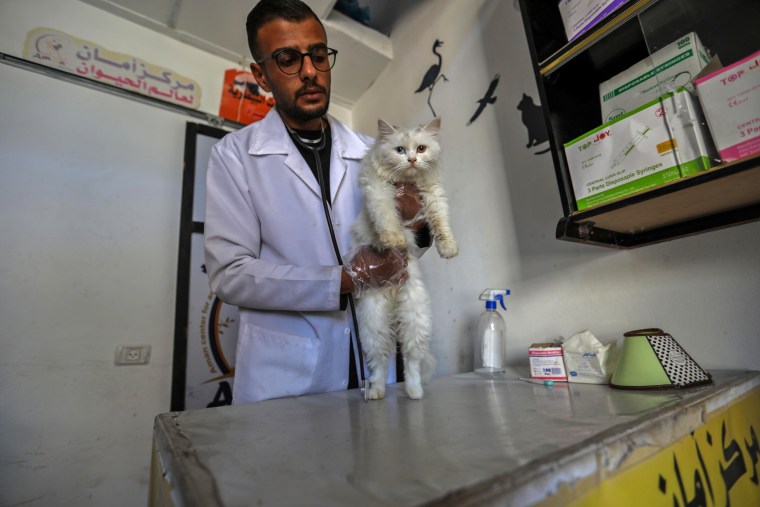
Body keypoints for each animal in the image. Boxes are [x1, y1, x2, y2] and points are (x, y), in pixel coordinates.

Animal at [352, 117, 458, 398]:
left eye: (421, 148)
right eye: (399, 150)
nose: (411, 159)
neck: (407, 181)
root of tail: (392, 293)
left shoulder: (433, 195)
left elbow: (441, 225)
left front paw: (449, 249)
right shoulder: (379, 191)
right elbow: (387, 218)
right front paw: (394, 240)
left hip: (414, 319)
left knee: (411, 362)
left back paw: (414, 392)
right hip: (374, 326)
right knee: (379, 364)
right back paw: (376, 393)